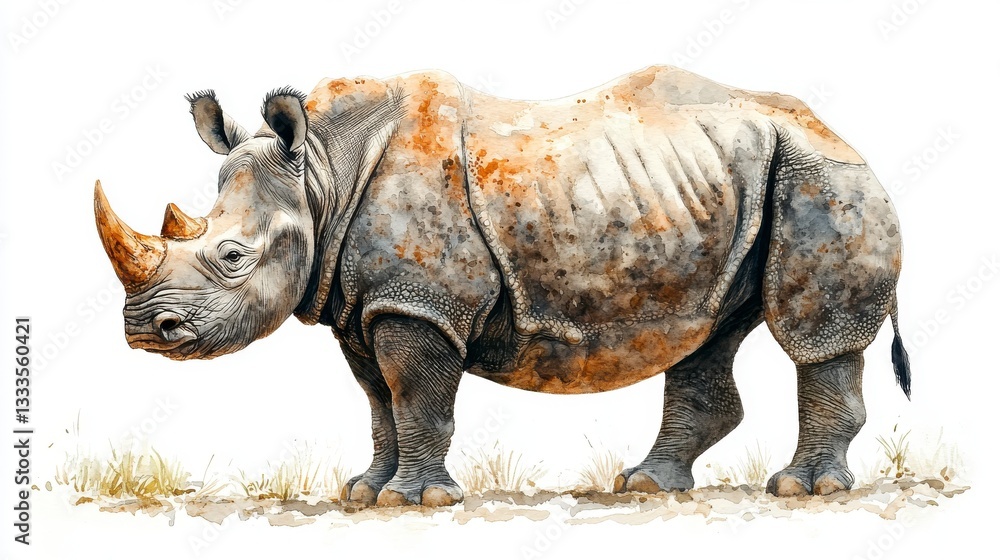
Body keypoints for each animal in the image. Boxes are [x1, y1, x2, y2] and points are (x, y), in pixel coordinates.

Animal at [94, 65, 910, 506]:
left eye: (232, 256)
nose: (143, 331)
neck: (322, 170)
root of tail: (840, 132)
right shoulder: (363, 303)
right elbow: (379, 404)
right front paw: (364, 493)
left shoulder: (419, 304)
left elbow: (416, 399)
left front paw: (413, 501)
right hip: (726, 186)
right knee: (711, 330)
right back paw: (646, 485)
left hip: (821, 175)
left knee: (811, 336)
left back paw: (804, 490)